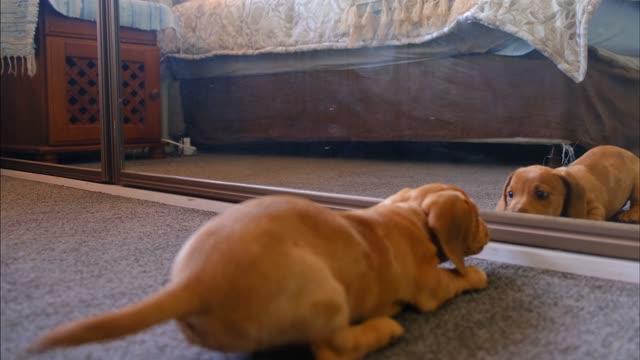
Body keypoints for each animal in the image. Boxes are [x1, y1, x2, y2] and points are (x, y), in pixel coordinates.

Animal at [27, 184, 488, 358]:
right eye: (477, 214)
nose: (487, 231)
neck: (411, 216)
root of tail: (196, 281)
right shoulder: (430, 287)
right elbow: (454, 278)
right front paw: (476, 276)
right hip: (325, 294)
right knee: (332, 348)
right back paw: (383, 328)